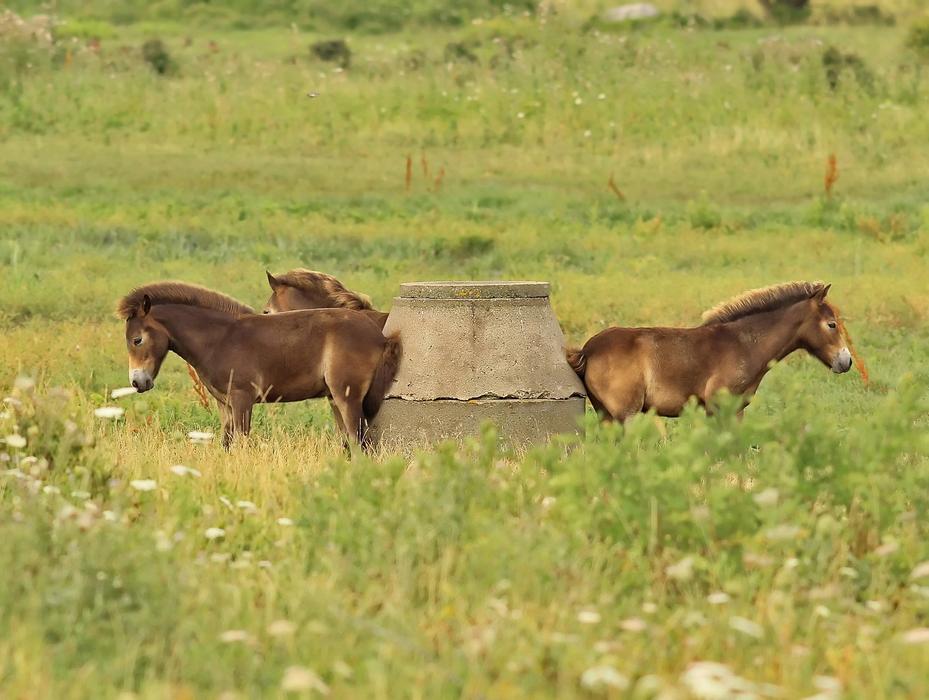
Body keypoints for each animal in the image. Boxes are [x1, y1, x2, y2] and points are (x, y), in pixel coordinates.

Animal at [117, 281, 401, 448]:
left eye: (137, 339)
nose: (138, 382)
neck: (219, 338)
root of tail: (380, 336)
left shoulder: (242, 398)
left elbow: (242, 442)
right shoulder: (224, 403)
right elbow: (227, 443)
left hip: (347, 396)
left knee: (358, 441)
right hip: (334, 398)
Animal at [567, 281, 854, 422]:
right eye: (832, 324)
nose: (847, 361)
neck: (744, 343)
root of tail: (587, 350)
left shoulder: (737, 410)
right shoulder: (717, 407)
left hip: (605, 415)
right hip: (626, 414)